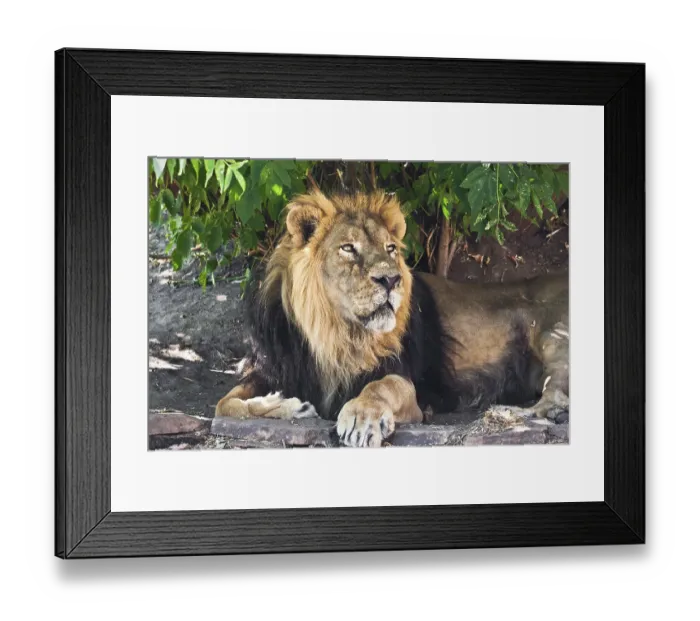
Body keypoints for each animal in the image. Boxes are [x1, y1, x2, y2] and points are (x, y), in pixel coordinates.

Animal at [215, 190, 569, 448]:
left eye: (390, 249)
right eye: (348, 248)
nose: (391, 279)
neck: (335, 334)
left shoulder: (405, 380)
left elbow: (382, 387)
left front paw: (361, 418)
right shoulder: (275, 369)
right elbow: (226, 404)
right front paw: (293, 406)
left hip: (554, 337)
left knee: (556, 391)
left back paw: (514, 413)